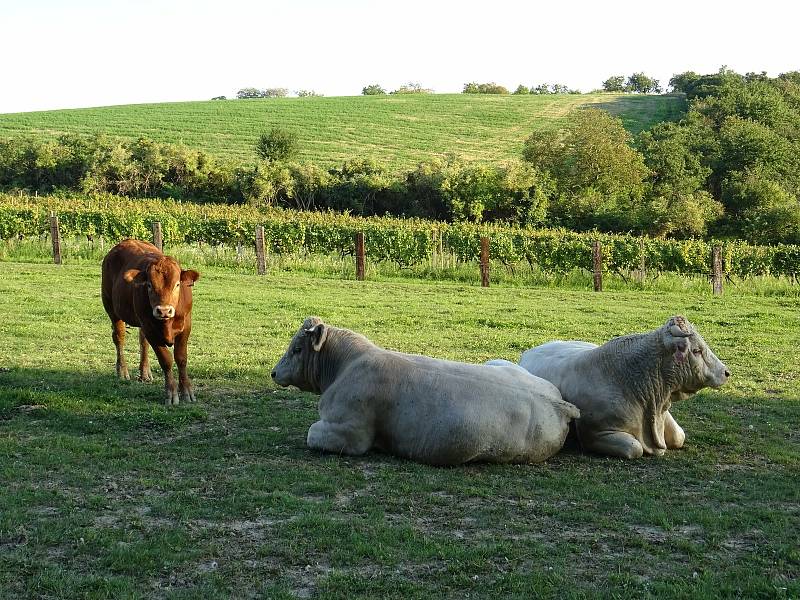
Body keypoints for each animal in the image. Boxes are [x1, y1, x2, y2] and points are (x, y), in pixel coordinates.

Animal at [101, 241, 200, 406]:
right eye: (149, 285)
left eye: (177, 284)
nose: (164, 310)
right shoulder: (150, 329)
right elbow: (166, 360)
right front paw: (171, 393)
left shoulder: (186, 327)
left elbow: (181, 358)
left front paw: (187, 390)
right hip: (111, 308)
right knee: (119, 338)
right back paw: (122, 371)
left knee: (143, 342)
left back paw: (145, 372)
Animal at [272, 316, 580, 466]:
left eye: (297, 349)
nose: (273, 372)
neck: (345, 366)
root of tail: (561, 403)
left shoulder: (350, 432)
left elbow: (313, 433)